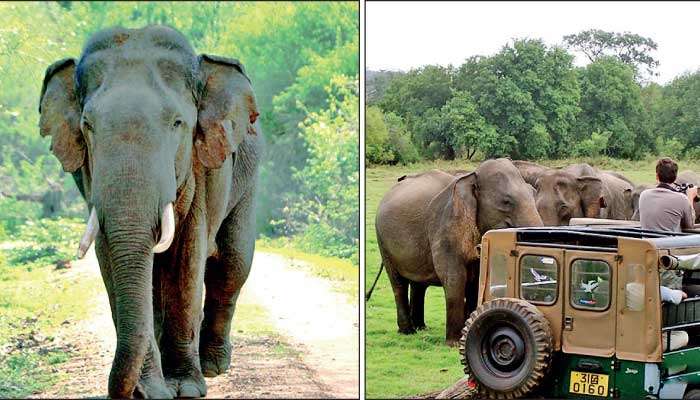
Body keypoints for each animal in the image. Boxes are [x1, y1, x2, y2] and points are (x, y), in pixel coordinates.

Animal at [39, 26, 262, 398]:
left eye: (177, 123)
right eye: (87, 126)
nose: (126, 392)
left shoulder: (202, 164)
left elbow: (187, 258)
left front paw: (186, 388)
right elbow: (110, 258)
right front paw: (152, 391)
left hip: (247, 178)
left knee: (233, 264)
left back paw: (214, 366)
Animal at [373, 158, 543, 345]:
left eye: (533, 193)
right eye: (506, 202)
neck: (472, 176)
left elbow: (478, 280)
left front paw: (467, 331)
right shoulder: (446, 227)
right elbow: (455, 277)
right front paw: (454, 343)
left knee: (418, 283)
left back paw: (421, 328)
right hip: (383, 242)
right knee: (398, 283)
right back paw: (408, 331)